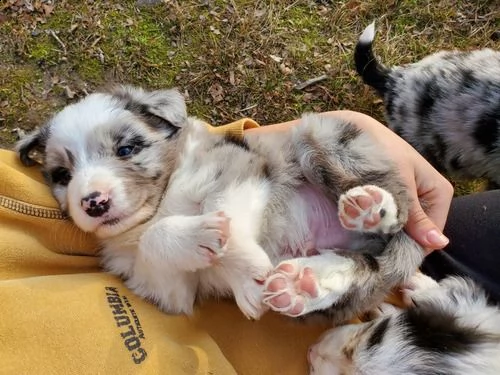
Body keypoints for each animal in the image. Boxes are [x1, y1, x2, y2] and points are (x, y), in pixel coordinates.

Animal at [15, 85, 424, 324]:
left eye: (127, 149)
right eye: (62, 175)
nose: (94, 203)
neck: (160, 204)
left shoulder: (238, 171)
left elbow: (226, 214)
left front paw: (246, 273)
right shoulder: (162, 285)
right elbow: (156, 245)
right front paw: (205, 243)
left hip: (320, 134)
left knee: (398, 213)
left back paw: (370, 207)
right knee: (363, 268)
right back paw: (300, 284)